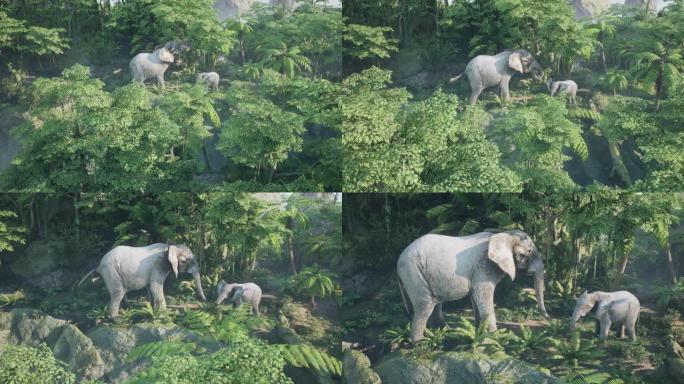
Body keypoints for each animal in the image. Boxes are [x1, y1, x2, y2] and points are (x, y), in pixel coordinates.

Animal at [77, 243, 206, 318]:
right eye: (185, 261)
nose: (205, 301)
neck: (170, 246)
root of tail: (99, 265)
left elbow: (152, 288)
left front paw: (155, 311)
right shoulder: (159, 265)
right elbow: (155, 286)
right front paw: (165, 315)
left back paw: (128, 309)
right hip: (111, 271)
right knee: (118, 293)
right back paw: (114, 319)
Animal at [396, 230, 552, 340]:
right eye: (528, 252)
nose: (549, 318)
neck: (503, 235)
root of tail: (398, 262)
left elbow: (475, 297)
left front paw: (479, 333)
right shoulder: (484, 265)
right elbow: (482, 294)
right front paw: (495, 337)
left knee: (435, 302)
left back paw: (444, 331)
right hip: (414, 272)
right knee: (426, 304)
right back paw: (419, 342)